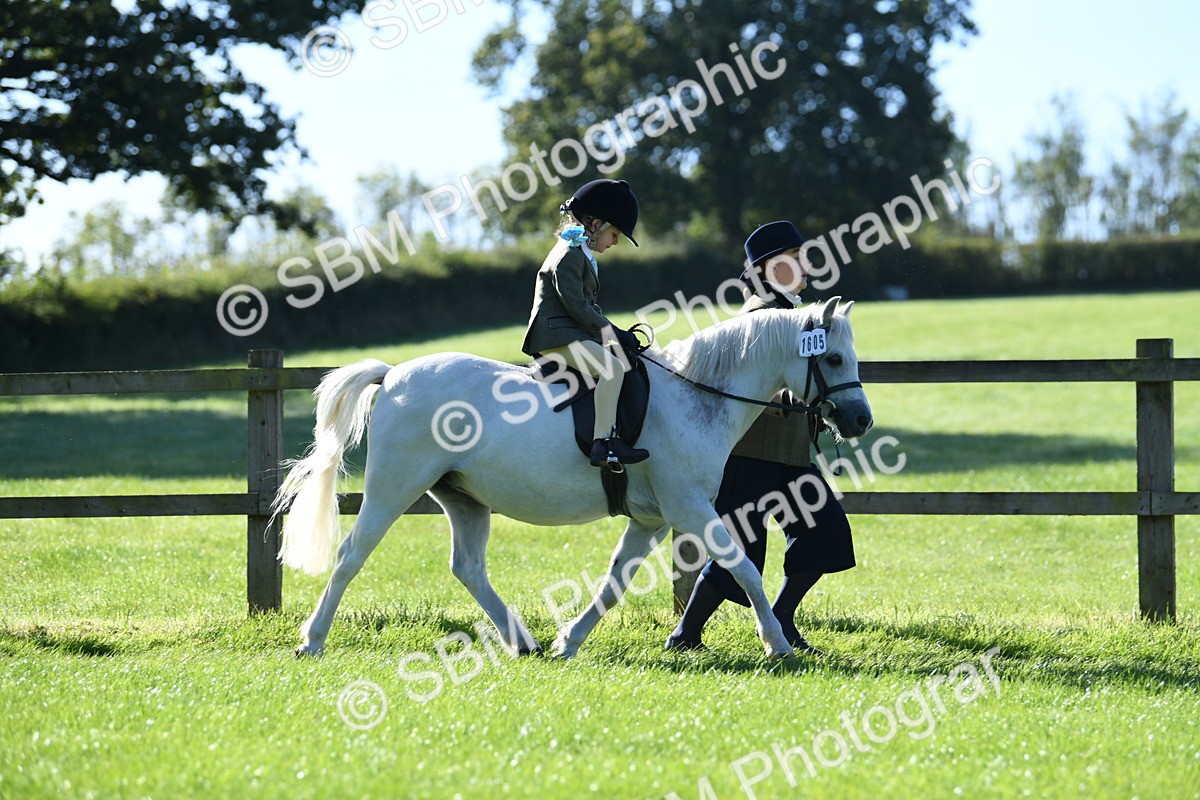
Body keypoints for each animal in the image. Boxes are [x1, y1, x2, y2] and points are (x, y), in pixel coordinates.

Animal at [275, 296, 873, 659]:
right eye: (834, 358)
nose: (861, 421)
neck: (696, 394)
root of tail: (394, 374)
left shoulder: (653, 520)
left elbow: (615, 581)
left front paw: (569, 641)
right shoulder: (690, 509)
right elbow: (743, 568)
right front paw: (777, 644)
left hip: (463, 497)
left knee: (467, 568)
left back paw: (523, 641)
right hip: (393, 488)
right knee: (351, 555)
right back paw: (312, 640)